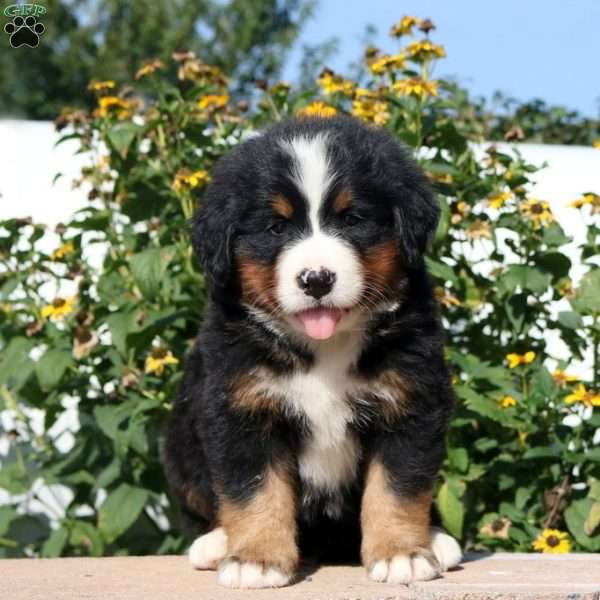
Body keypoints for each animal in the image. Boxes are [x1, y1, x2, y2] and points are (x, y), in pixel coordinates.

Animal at [164, 115, 464, 588]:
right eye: (276, 228)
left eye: (353, 219)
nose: (317, 279)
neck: (325, 348)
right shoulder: (242, 409)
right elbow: (255, 490)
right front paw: (256, 559)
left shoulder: (411, 403)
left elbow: (397, 486)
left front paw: (401, 552)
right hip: (179, 445)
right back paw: (215, 543)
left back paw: (435, 539)